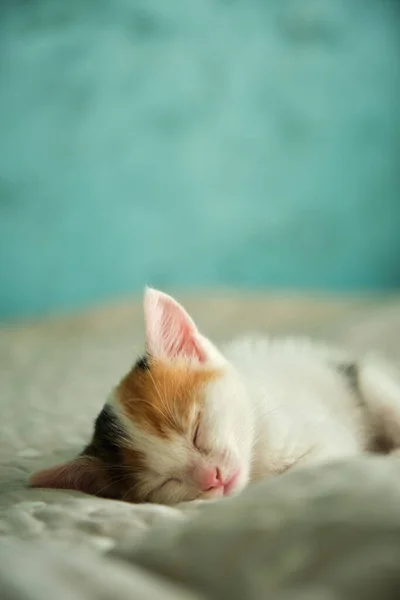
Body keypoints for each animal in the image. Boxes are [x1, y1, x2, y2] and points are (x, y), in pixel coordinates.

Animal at [29, 288, 400, 504]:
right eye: (165, 482)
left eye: (196, 429)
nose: (213, 478)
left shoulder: (316, 435)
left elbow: (311, 466)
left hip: (369, 379)